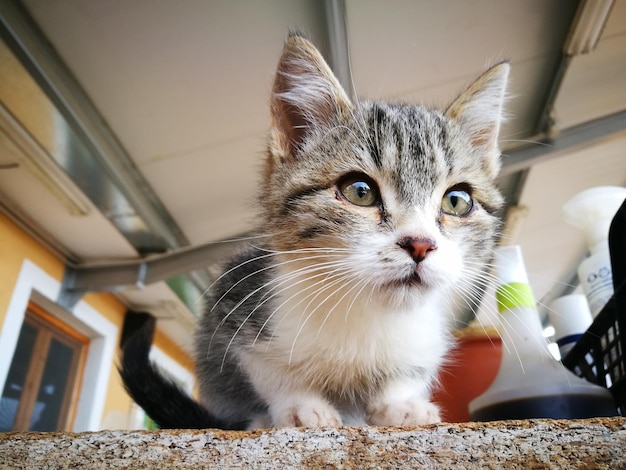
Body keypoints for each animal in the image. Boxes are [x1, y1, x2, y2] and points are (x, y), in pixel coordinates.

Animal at [120, 32, 508, 430]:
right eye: (360, 191)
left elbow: (409, 372)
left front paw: (402, 403)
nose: (420, 244)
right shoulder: (236, 305)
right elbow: (268, 370)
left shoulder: (426, 340)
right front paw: (300, 406)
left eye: (457, 201)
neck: (365, 314)